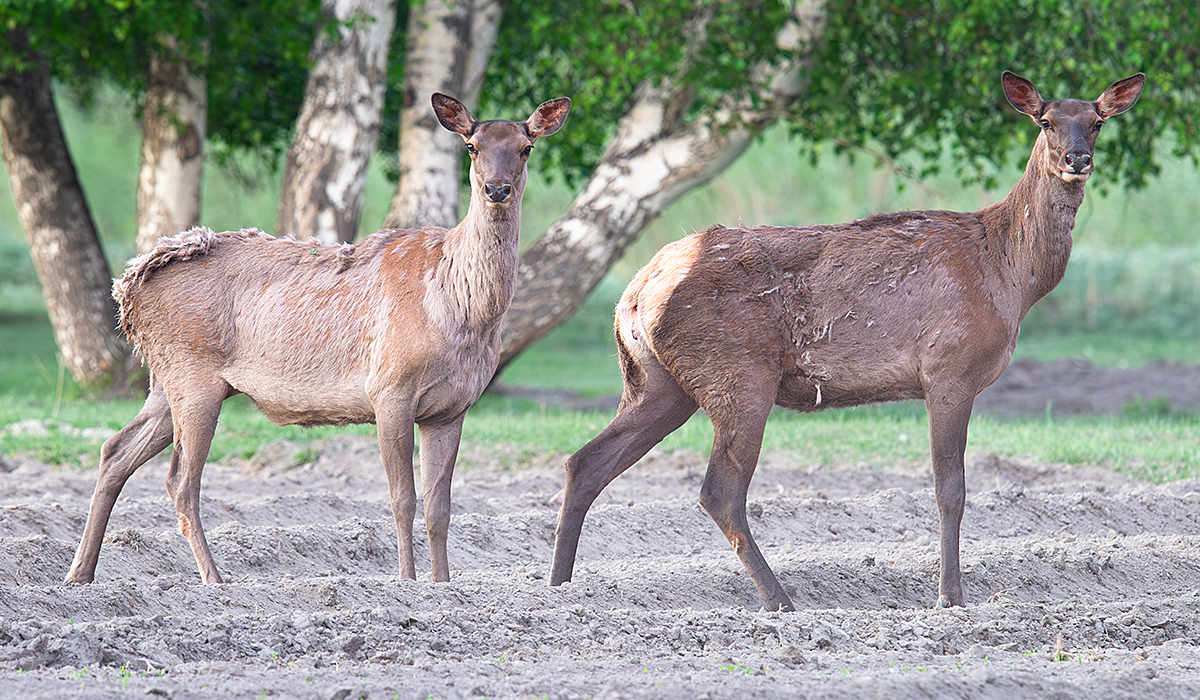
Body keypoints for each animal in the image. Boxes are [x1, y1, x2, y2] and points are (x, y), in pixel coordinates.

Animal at [65, 93, 571, 585]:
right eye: (472, 146)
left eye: (526, 148)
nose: (497, 189)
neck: (460, 308)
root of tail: (129, 285)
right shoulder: (389, 388)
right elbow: (403, 498)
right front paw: (407, 583)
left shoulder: (452, 407)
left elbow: (440, 508)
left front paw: (443, 586)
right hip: (193, 373)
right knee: (180, 480)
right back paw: (214, 581)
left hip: (165, 380)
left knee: (115, 451)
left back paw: (80, 574)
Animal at [547, 71, 1142, 614]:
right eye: (1045, 121)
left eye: (1097, 121)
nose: (1078, 158)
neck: (1012, 276)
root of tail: (636, 289)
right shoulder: (949, 368)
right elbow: (951, 489)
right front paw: (950, 598)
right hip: (737, 374)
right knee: (719, 490)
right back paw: (780, 600)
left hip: (658, 381)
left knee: (586, 463)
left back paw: (559, 592)